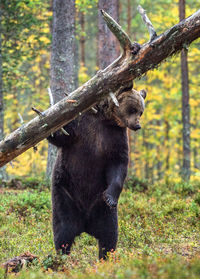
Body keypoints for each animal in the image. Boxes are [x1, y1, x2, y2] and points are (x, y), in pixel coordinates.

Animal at [47, 85, 146, 260]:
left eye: (141, 111)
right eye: (133, 109)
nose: (137, 125)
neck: (105, 119)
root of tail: (85, 224)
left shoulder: (114, 136)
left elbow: (118, 164)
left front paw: (111, 197)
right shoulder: (81, 125)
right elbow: (63, 135)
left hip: (101, 208)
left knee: (109, 234)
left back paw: (105, 258)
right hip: (64, 193)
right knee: (63, 229)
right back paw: (61, 257)